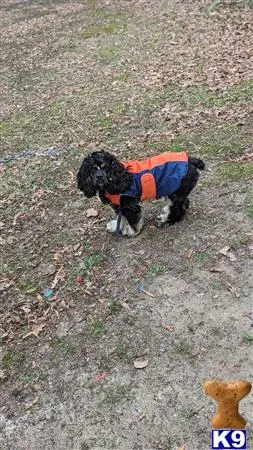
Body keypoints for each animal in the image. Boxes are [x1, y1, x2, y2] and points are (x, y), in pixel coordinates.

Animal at [76, 150, 205, 237]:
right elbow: (121, 218)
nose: (99, 177)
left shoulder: (129, 205)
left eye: (106, 168)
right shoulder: (119, 206)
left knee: (181, 206)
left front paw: (131, 231)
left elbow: (133, 220)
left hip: (176, 191)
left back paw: (167, 220)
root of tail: (190, 160)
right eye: (93, 169)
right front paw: (116, 226)